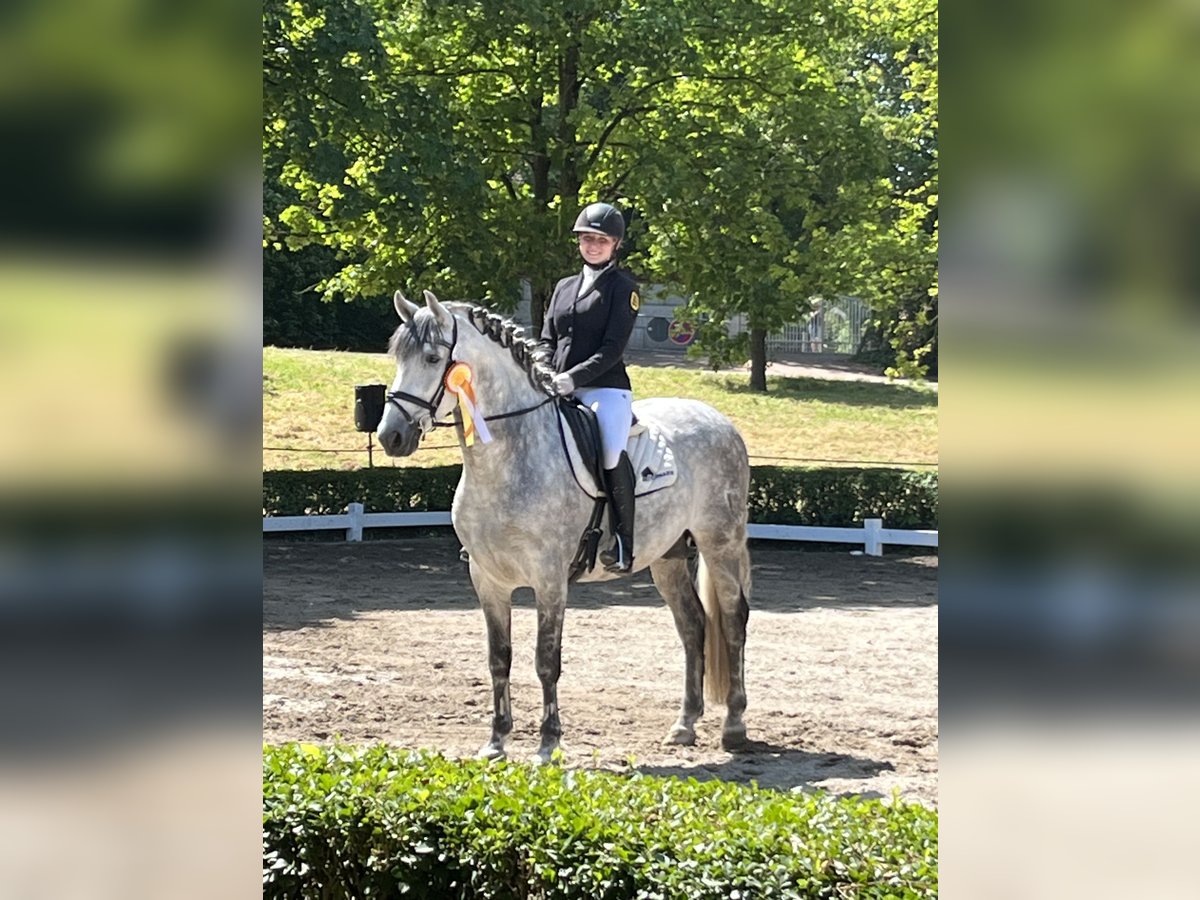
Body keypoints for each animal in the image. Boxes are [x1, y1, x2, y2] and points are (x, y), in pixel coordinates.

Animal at [376, 292, 748, 763]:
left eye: (431, 357)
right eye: (397, 356)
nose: (391, 436)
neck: (507, 459)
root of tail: (720, 420)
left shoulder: (549, 578)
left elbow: (545, 659)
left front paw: (548, 743)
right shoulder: (487, 578)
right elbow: (499, 657)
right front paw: (496, 742)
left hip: (720, 543)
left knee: (733, 620)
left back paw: (734, 726)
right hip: (668, 556)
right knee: (693, 625)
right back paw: (684, 725)